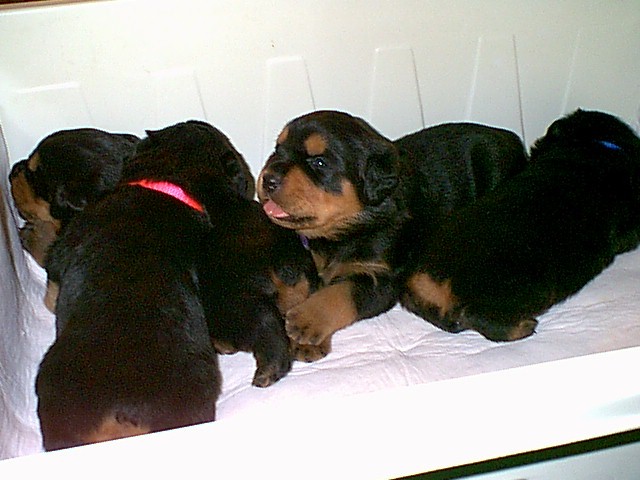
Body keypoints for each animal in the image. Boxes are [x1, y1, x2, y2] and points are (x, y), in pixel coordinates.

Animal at [257, 110, 528, 358]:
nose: (268, 179)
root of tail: (512, 138)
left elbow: (341, 291)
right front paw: (305, 341)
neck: (345, 231)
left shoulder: (380, 277)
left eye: (319, 162)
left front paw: (306, 319)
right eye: (278, 150)